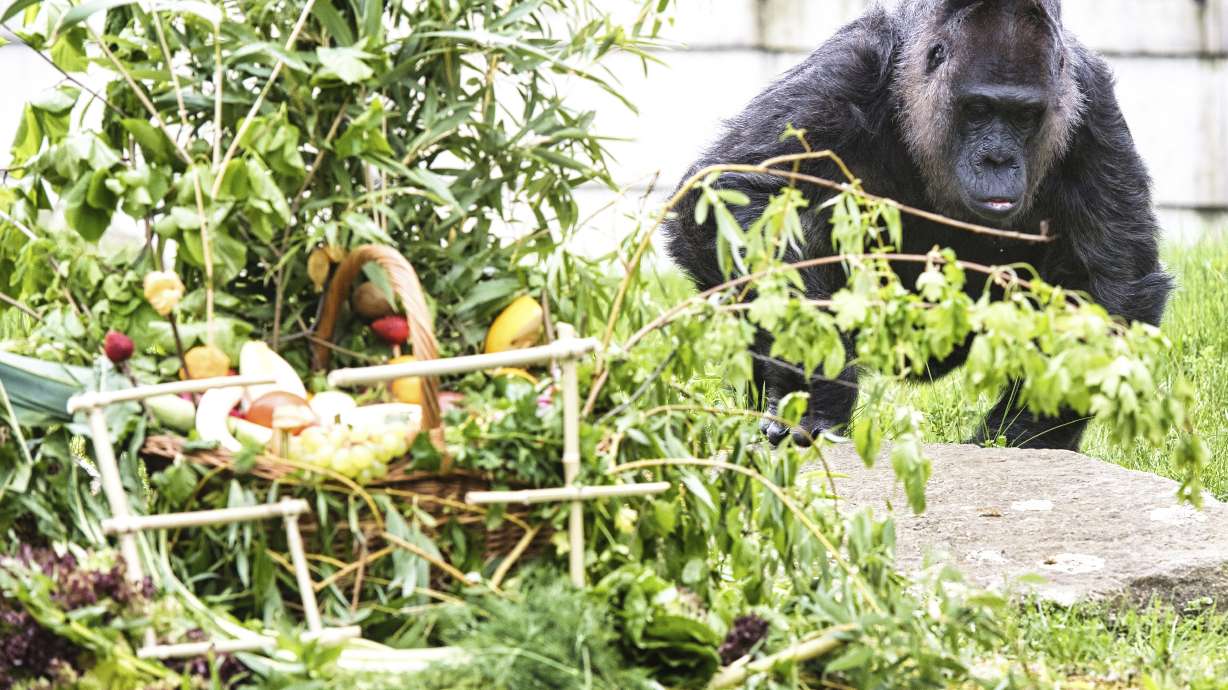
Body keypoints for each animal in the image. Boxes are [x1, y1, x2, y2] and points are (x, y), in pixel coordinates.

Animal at [662, 0, 1173, 451]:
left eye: (1025, 115)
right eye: (978, 110)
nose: (997, 160)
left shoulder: (1092, 102)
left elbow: (1110, 281)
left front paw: (1027, 435)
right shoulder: (846, 69)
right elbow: (735, 192)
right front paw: (817, 388)